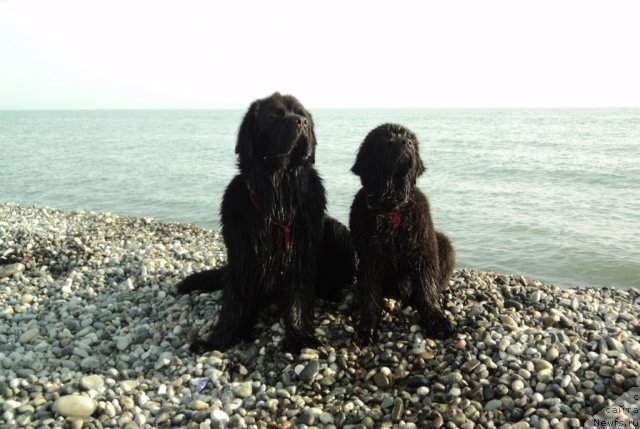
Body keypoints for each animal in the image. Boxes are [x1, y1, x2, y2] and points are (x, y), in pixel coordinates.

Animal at [176, 92, 356, 352]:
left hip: (336, 230)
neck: (277, 189)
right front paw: (216, 340)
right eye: (273, 117)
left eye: (302, 114)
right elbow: (233, 302)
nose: (301, 122)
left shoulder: (299, 253)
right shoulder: (242, 252)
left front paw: (299, 335)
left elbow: (298, 296)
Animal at [350, 123, 456, 344]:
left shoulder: (424, 250)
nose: (405, 143)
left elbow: (426, 288)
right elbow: (369, 293)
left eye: (410, 138)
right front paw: (368, 326)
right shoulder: (368, 257)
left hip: (443, 243)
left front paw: (436, 319)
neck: (391, 208)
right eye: (385, 138)